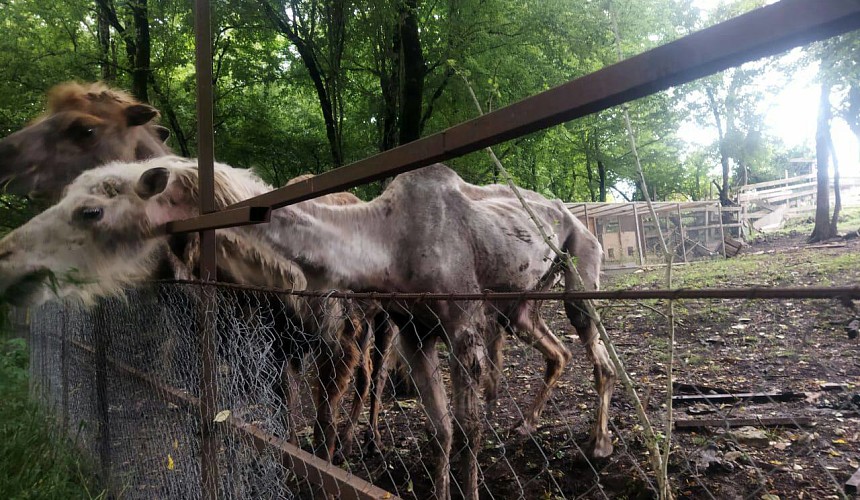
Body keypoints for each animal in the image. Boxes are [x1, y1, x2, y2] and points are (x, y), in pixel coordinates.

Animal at [0, 157, 616, 500]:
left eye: (91, 211)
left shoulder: (458, 319)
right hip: (518, 304)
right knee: (554, 351)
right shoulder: (414, 331)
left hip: (581, 267)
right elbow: (441, 430)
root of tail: (578, 217)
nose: (7, 254)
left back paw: (601, 444)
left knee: (597, 352)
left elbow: (462, 431)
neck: (386, 240)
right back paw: (527, 426)